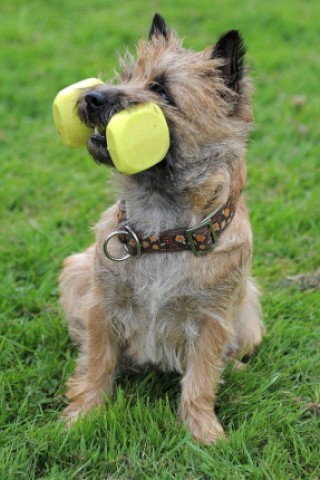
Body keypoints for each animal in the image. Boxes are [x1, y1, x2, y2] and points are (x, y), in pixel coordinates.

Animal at [58, 13, 264, 444]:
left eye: (161, 89)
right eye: (126, 75)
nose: (92, 97)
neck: (161, 232)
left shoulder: (211, 321)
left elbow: (201, 378)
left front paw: (203, 432)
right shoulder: (102, 306)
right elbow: (97, 363)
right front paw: (80, 415)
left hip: (249, 314)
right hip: (75, 272)